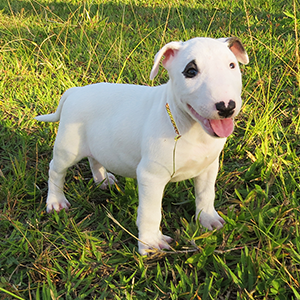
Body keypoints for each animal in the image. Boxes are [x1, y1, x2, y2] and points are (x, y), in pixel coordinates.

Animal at [35, 36, 248, 254]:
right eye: (191, 71)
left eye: (232, 65)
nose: (226, 107)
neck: (190, 127)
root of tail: (75, 91)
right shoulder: (151, 176)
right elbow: (150, 212)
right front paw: (150, 243)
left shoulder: (208, 167)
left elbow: (206, 194)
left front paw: (208, 219)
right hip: (68, 147)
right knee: (55, 171)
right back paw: (56, 202)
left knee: (94, 159)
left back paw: (103, 180)